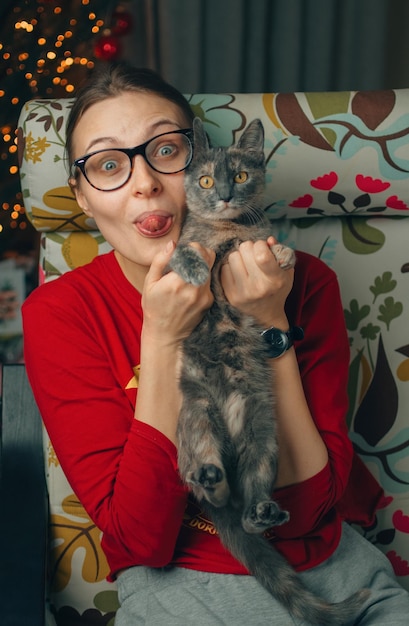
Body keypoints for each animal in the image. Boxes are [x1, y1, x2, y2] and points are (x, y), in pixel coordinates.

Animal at [167, 118, 368, 624]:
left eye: (239, 176)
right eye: (205, 181)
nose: (222, 195)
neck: (226, 230)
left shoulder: (256, 238)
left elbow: (273, 247)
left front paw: (282, 257)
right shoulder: (176, 249)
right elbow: (182, 251)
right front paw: (195, 268)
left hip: (263, 441)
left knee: (245, 503)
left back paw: (262, 512)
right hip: (196, 419)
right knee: (206, 484)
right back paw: (210, 478)